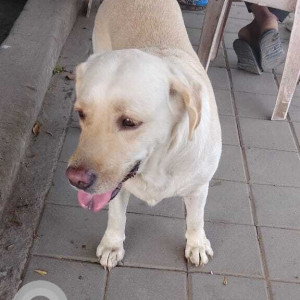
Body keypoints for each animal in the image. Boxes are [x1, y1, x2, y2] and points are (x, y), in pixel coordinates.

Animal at [67, 0, 221, 270]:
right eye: (81, 113)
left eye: (129, 122)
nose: (75, 179)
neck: (158, 164)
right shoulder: (118, 188)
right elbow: (116, 216)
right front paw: (112, 245)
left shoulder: (199, 186)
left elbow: (195, 219)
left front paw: (197, 244)